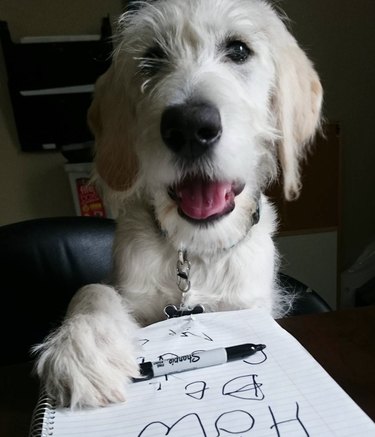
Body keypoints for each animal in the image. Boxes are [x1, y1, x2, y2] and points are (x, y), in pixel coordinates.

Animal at [33, 0, 324, 408]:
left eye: (238, 49)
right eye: (152, 58)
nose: (189, 127)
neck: (197, 250)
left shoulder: (250, 306)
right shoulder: (131, 293)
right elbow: (93, 289)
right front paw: (83, 346)